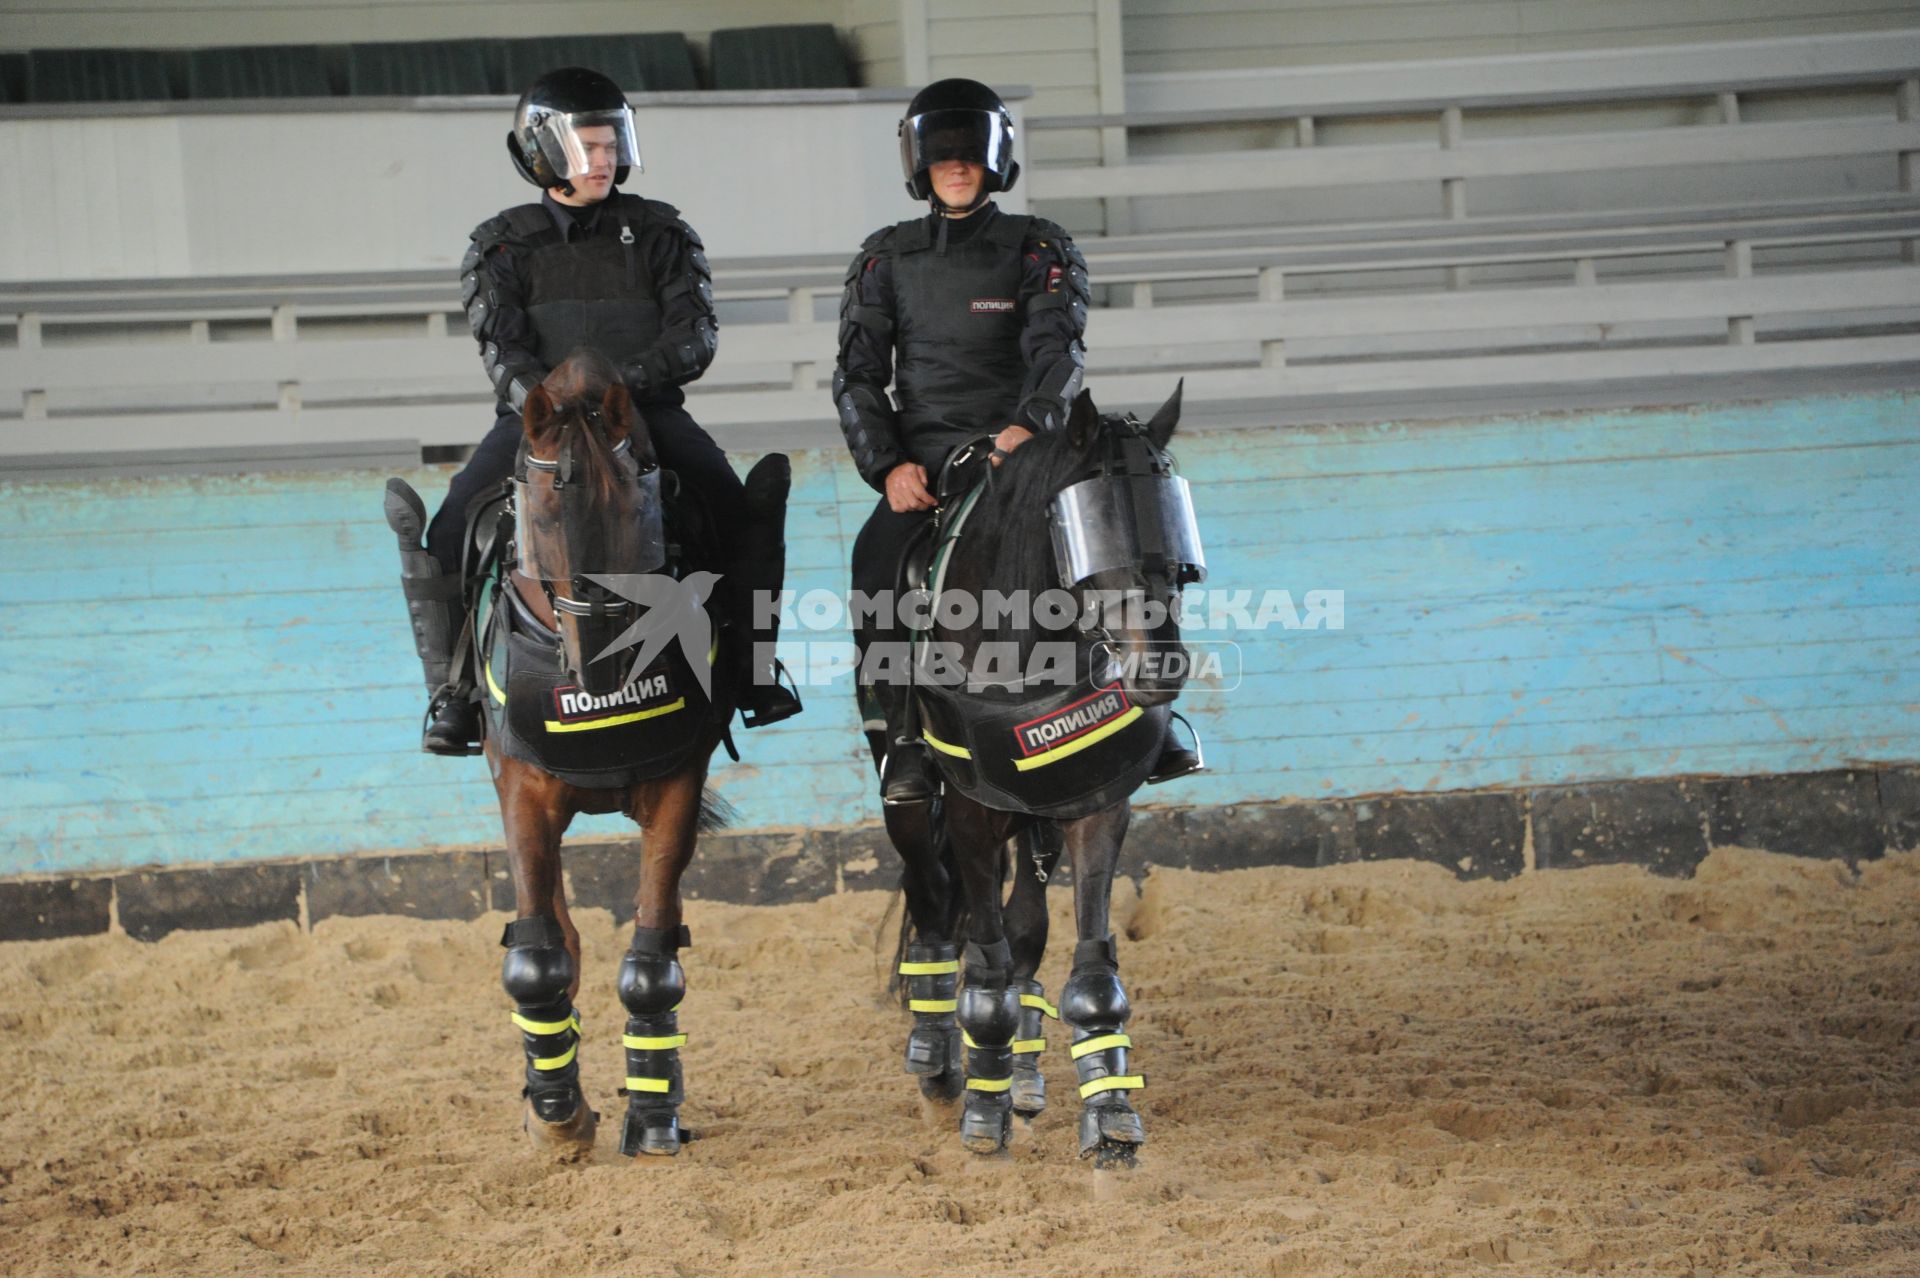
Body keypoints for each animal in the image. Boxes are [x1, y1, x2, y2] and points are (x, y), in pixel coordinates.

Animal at [871, 379, 1198, 1166]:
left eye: (1173, 521)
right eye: (1085, 527)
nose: (1160, 666)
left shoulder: (1094, 802)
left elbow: (1088, 967)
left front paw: (1109, 1116)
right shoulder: (971, 814)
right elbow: (984, 967)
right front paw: (980, 1117)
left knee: (1024, 929)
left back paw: (1019, 1078)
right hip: (914, 802)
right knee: (933, 903)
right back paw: (938, 1061)